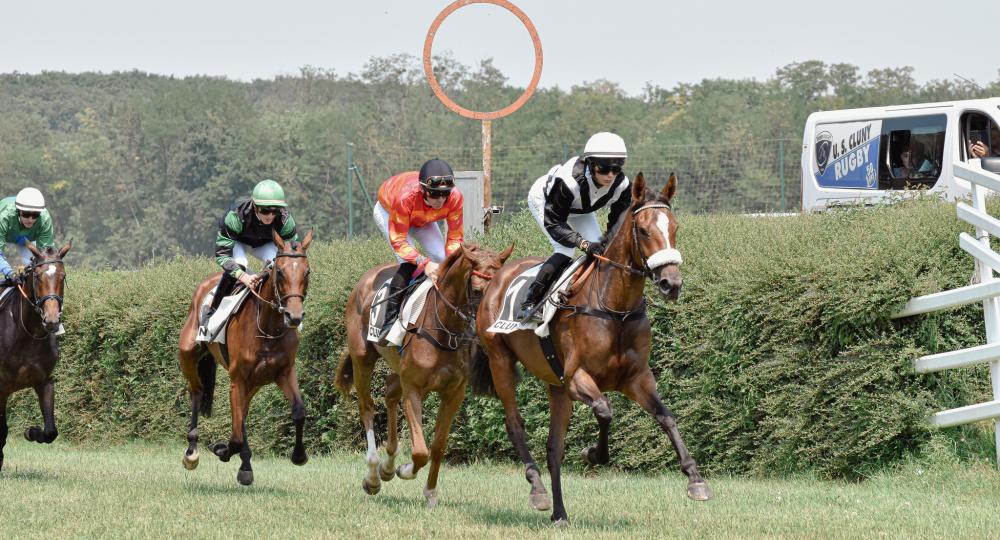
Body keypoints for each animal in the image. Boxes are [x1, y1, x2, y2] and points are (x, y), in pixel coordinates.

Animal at [0, 239, 71, 468]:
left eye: (62, 276)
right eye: (38, 276)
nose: (52, 320)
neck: (28, 332)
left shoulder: (44, 381)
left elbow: (51, 431)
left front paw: (31, 432)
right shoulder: (1, 387)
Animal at [178, 228, 312, 486]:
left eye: (307, 271)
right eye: (280, 272)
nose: (294, 316)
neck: (268, 327)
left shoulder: (284, 372)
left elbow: (299, 411)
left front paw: (299, 455)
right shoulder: (237, 380)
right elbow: (237, 433)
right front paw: (224, 451)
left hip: (254, 383)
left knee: (241, 415)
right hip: (188, 353)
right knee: (197, 392)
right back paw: (192, 452)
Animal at [338, 244, 516, 506]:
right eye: (475, 290)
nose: (488, 330)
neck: (445, 328)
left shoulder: (453, 394)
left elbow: (438, 446)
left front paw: (430, 491)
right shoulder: (413, 389)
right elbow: (420, 451)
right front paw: (405, 470)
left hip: (397, 368)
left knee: (390, 392)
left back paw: (387, 465)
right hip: (363, 359)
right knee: (367, 407)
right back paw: (373, 475)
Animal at [474, 172, 712, 524]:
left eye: (675, 227)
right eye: (644, 231)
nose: (672, 283)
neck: (615, 309)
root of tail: (496, 278)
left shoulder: (636, 378)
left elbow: (666, 417)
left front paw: (695, 480)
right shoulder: (577, 378)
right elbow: (605, 409)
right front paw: (593, 453)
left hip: (555, 386)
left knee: (553, 449)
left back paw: (559, 513)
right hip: (500, 360)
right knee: (515, 424)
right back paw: (538, 491)